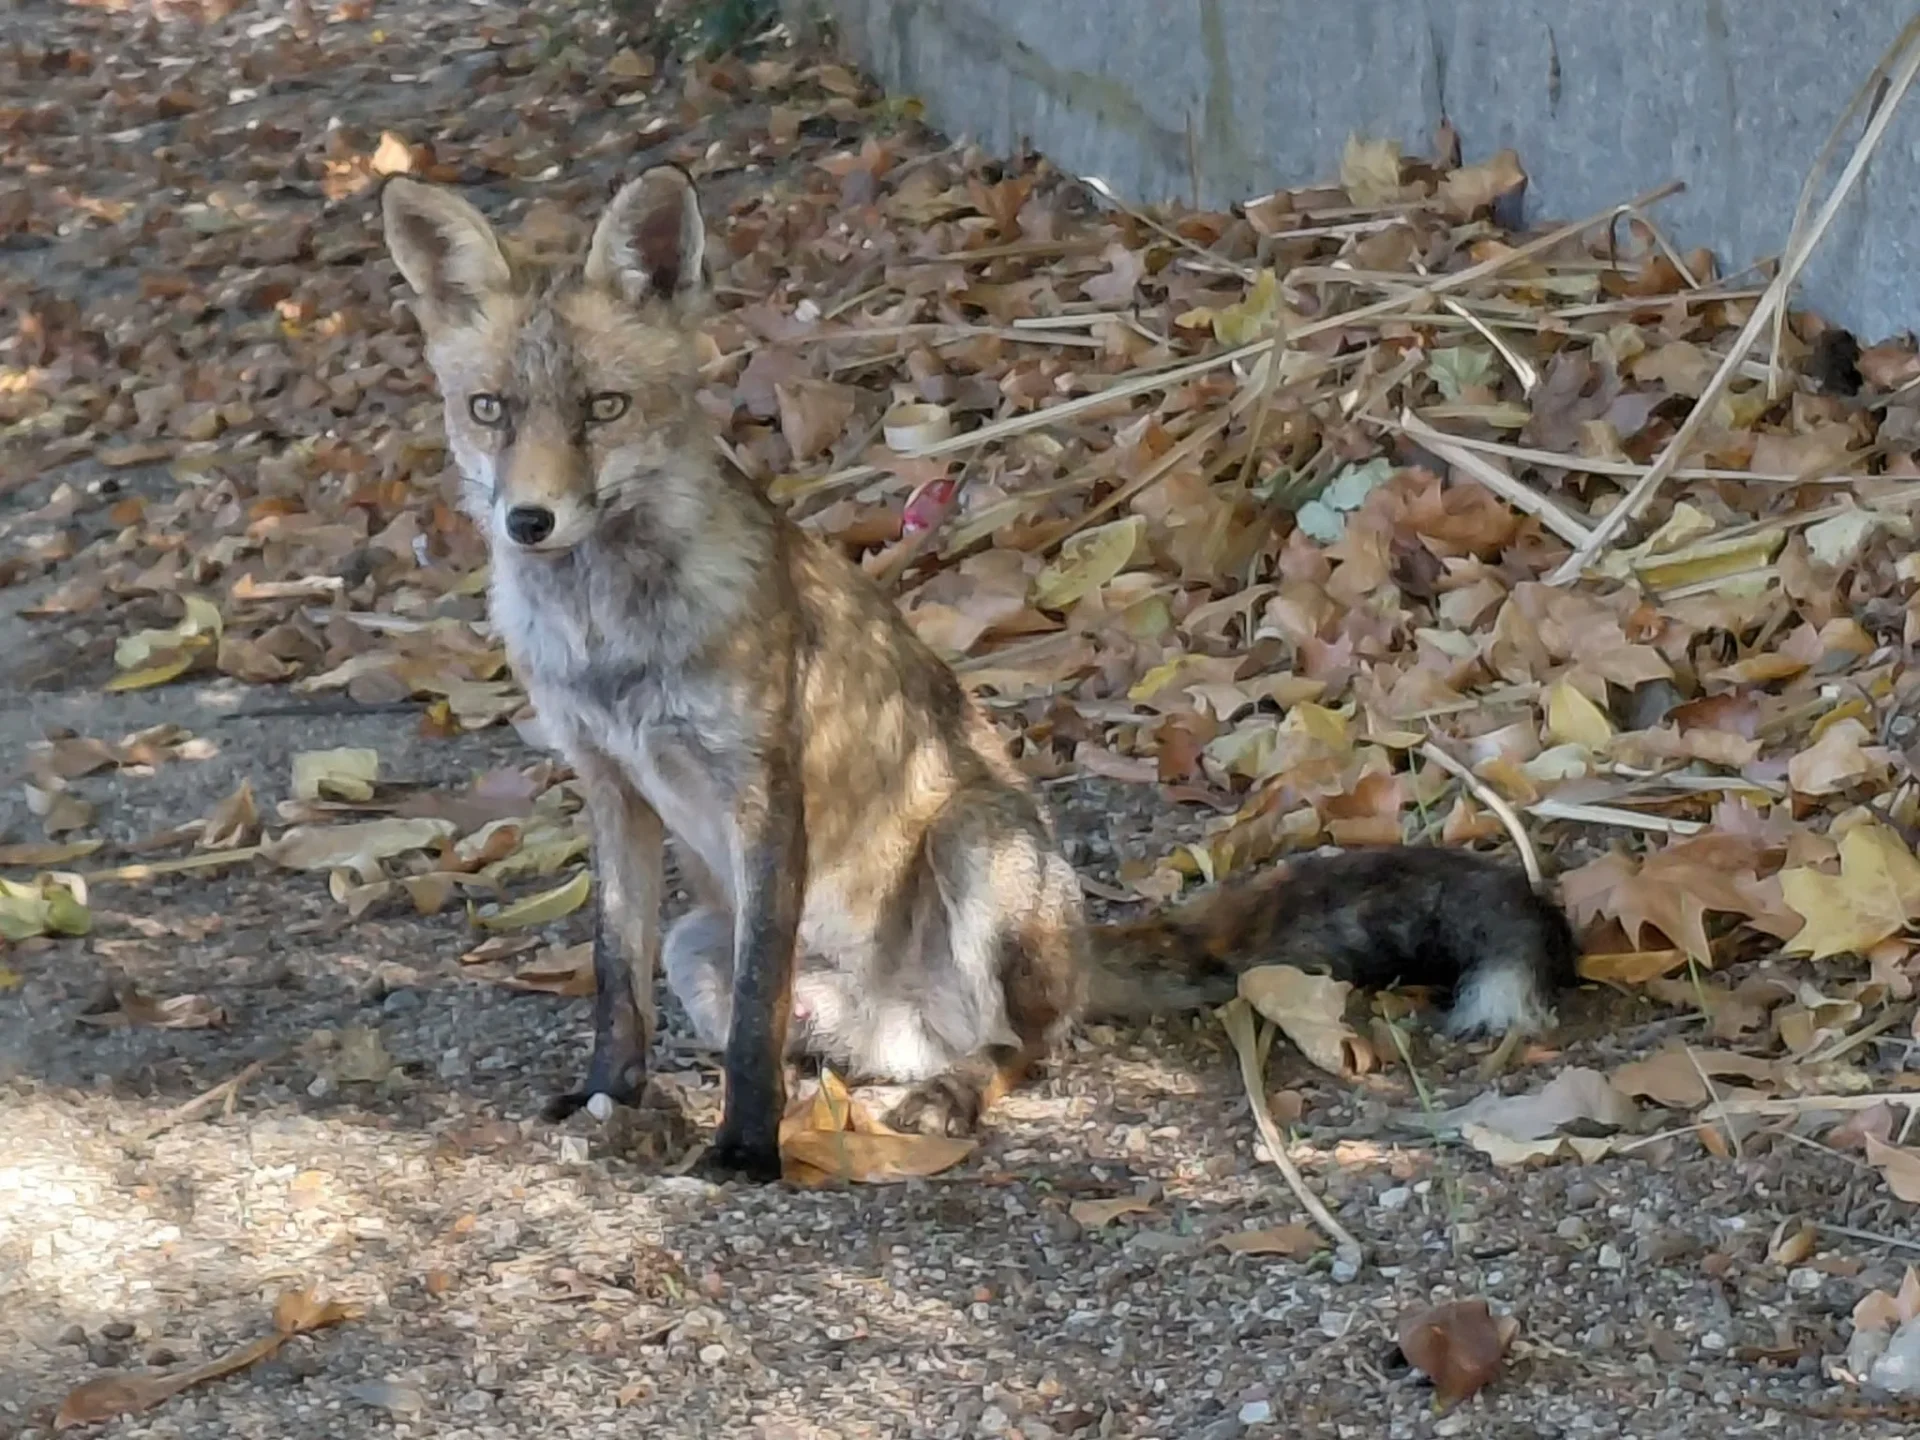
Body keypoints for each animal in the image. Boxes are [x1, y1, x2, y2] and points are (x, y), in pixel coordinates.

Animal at [380, 167, 1577, 1183]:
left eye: (604, 409)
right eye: (490, 410)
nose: (529, 520)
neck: (607, 639)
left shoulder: (765, 792)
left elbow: (760, 1004)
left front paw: (746, 1148)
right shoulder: (613, 788)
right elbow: (613, 979)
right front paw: (610, 1100)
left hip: (973, 841)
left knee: (1020, 1050)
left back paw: (944, 1099)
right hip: (706, 940)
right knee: (863, 1044)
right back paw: (844, 1095)